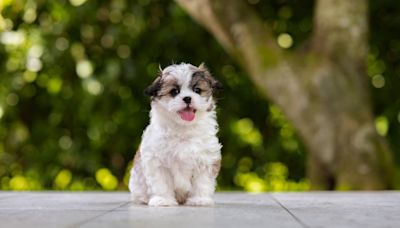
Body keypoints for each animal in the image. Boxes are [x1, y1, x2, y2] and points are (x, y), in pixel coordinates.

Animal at [128, 62, 222, 207]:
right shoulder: (158, 162)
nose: (187, 98)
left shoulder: (205, 160)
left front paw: (199, 199)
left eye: (197, 90)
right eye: (174, 92)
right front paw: (163, 199)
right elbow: (161, 183)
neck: (183, 129)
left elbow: (202, 182)